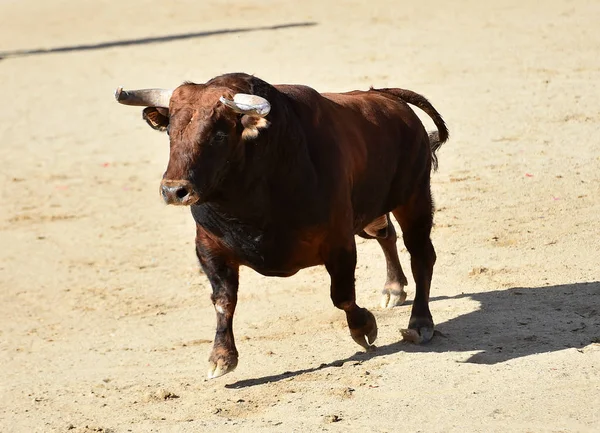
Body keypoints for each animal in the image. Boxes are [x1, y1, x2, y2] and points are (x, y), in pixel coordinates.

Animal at [115, 72, 448, 376]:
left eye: (219, 135)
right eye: (170, 131)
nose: (174, 190)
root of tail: (387, 97)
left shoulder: (338, 241)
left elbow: (342, 295)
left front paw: (364, 328)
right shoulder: (209, 248)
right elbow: (223, 300)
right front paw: (221, 357)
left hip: (415, 197)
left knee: (421, 255)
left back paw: (420, 323)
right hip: (370, 213)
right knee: (385, 233)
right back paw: (393, 289)